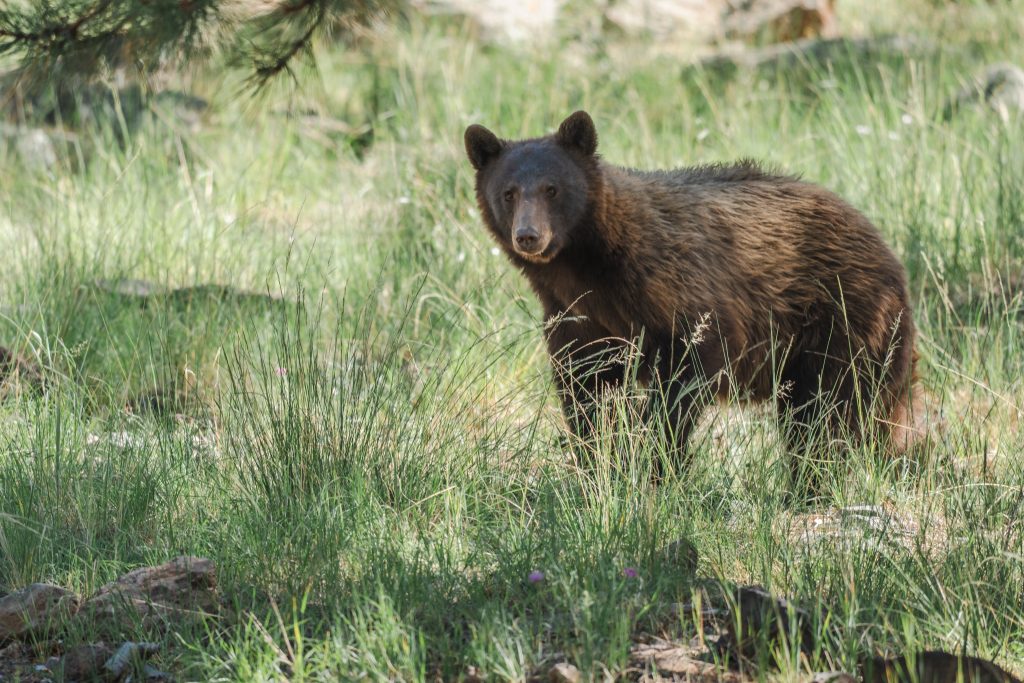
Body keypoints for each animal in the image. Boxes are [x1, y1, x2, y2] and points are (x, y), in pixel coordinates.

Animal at [464, 110, 918, 491]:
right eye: (508, 192)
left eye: (552, 188)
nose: (528, 235)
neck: (588, 272)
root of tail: (884, 245)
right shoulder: (576, 317)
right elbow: (584, 387)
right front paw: (600, 466)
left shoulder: (676, 288)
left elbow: (686, 373)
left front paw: (656, 464)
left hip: (841, 318)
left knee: (828, 412)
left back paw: (810, 488)